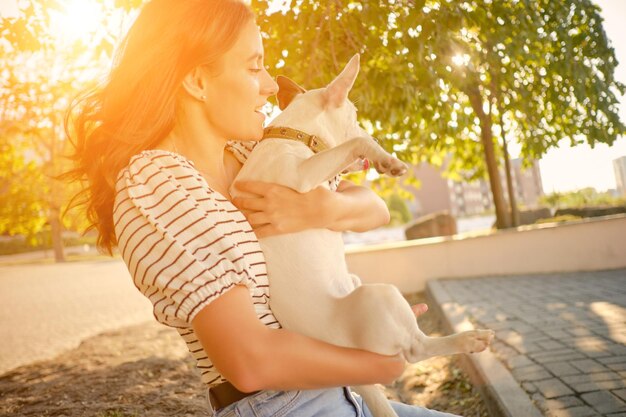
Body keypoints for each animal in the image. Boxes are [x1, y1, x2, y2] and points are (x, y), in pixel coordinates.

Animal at [229, 54, 492, 416]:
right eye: (355, 118)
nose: (376, 137)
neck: (293, 136)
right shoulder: (298, 176)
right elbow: (354, 144)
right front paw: (387, 159)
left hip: (358, 283)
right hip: (381, 296)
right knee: (416, 349)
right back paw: (468, 339)